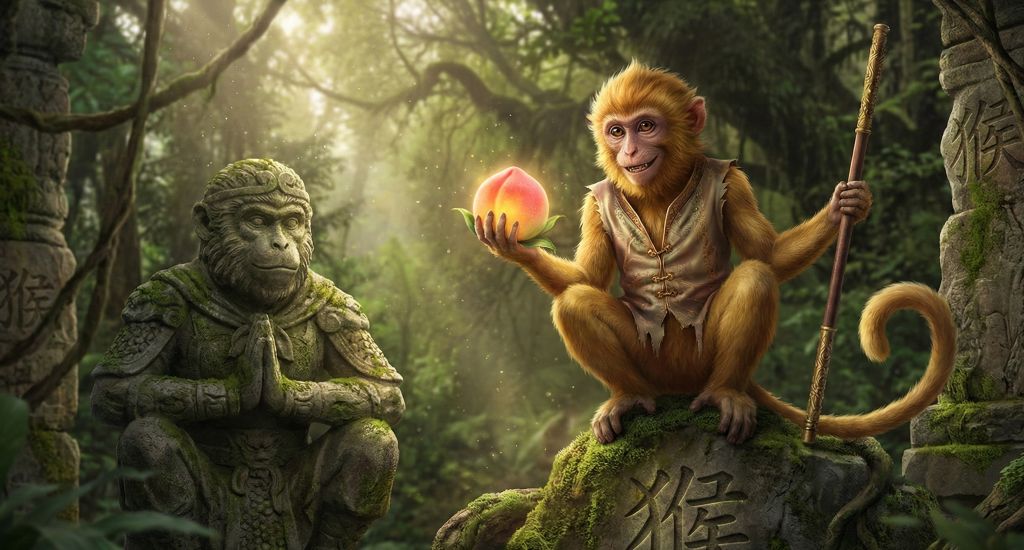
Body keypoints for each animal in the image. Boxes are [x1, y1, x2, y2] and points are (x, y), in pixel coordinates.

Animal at [474, 61, 954, 445]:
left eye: (645, 126)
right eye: (616, 130)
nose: (629, 150)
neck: (658, 189)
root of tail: (680, 389)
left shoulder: (735, 184)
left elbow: (767, 255)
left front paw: (846, 206)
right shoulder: (594, 206)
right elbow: (588, 279)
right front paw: (514, 249)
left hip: (702, 361)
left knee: (755, 278)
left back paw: (726, 393)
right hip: (653, 366)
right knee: (574, 303)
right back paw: (629, 397)